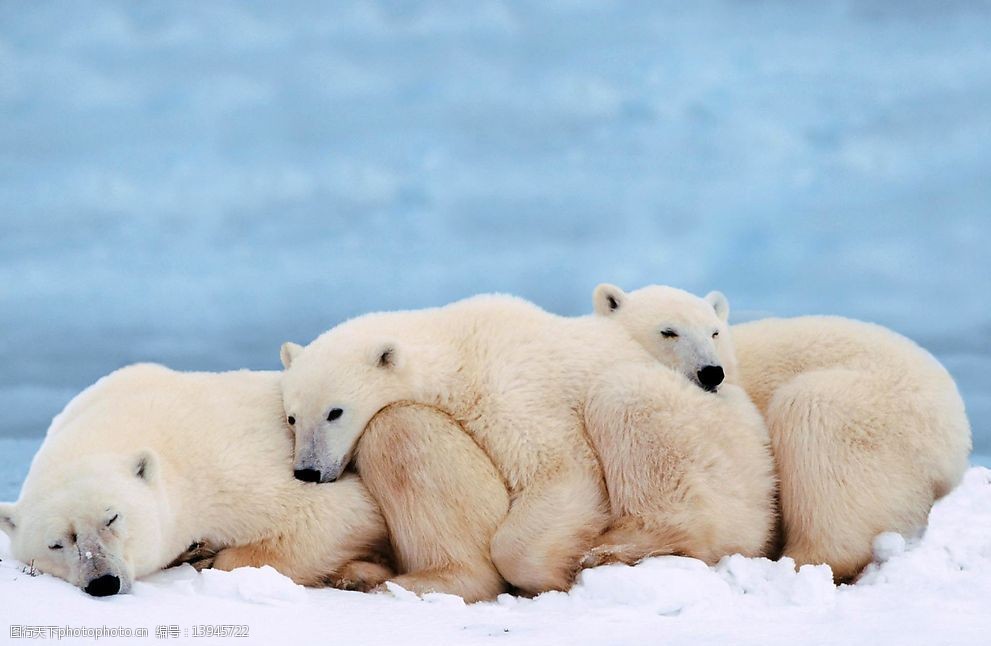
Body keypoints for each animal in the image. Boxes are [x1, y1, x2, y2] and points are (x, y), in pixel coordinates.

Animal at [0, 364, 512, 604]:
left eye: (112, 517)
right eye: (57, 543)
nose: (103, 582)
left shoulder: (226, 466)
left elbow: (335, 514)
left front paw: (209, 555)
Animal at [280, 294, 784, 592]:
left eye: (335, 411)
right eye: (291, 416)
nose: (308, 471)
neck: (458, 348)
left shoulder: (510, 389)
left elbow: (561, 470)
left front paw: (552, 574)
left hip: (710, 440)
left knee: (625, 400)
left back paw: (616, 549)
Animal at [592, 284, 972, 584]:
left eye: (714, 332)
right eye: (668, 331)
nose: (712, 372)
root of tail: (956, 435)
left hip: (878, 412)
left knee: (813, 421)